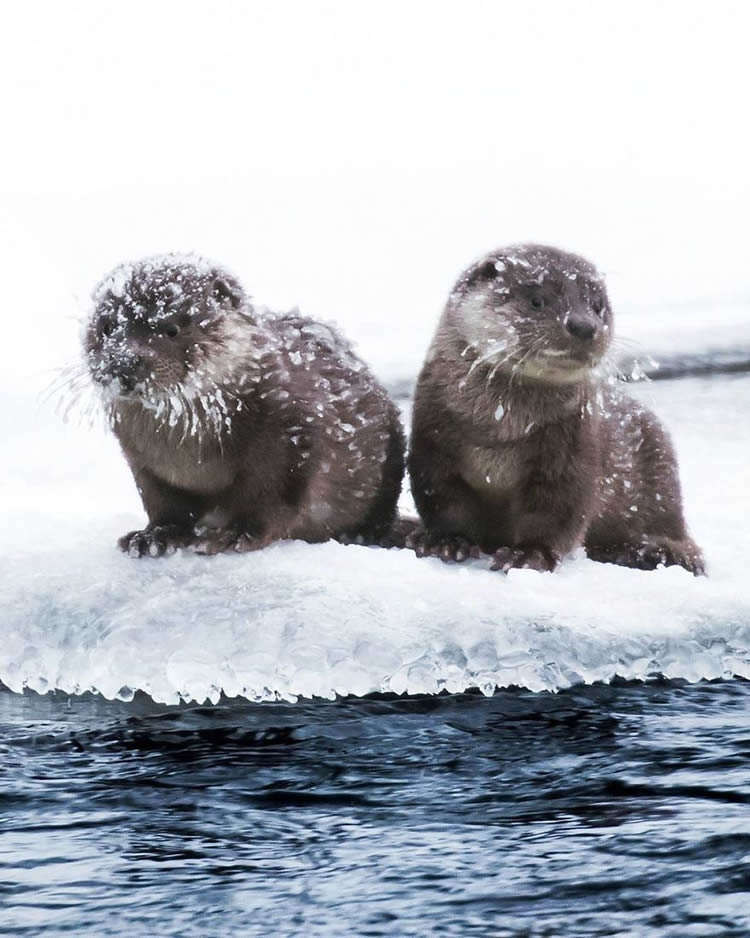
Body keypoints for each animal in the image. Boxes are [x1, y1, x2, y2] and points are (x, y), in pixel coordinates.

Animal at [83, 252, 406, 552]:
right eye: (107, 327)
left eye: (171, 328)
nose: (123, 360)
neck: (189, 449)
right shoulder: (144, 461)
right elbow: (163, 502)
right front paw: (154, 536)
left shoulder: (291, 437)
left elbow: (269, 496)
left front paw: (235, 534)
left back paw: (363, 532)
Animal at [408, 241, 708, 576]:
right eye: (537, 300)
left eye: (597, 306)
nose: (583, 325)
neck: (501, 430)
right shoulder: (435, 440)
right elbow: (445, 498)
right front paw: (446, 541)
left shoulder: (573, 448)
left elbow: (556, 512)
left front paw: (527, 555)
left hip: (660, 474)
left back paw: (652, 550)